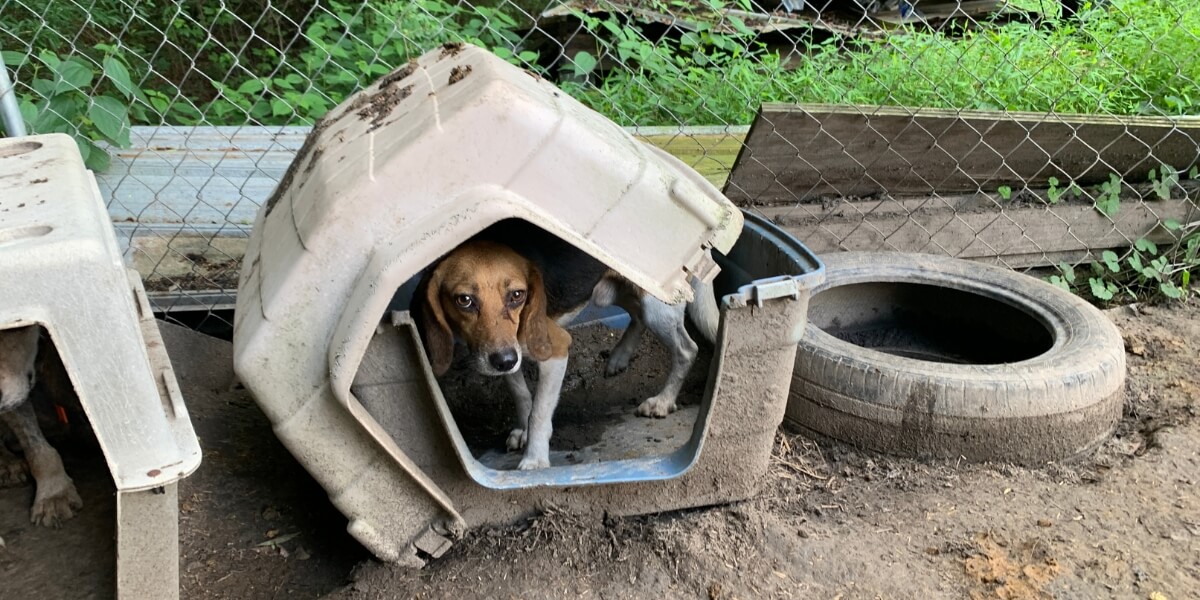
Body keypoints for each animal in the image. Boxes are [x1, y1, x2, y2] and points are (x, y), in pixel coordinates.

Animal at [417, 220, 715, 468]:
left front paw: (535, 461)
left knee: (687, 349)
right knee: (637, 317)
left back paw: (663, 402)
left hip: (657, 306)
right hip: (610, 291)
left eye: (517, 295)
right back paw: (619, 358)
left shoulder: (555, 350)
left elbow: (539, 413)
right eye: (464, 300)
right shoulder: (505, 355)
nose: (503, 361)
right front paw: (523, 431)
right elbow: (521, 395)